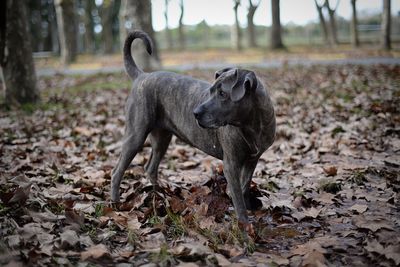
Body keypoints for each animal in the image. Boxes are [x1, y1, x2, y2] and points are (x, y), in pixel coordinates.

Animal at [111, 31, 276, 226]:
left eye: (222, 94)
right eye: (211, 91)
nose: (195, 113)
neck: (251, 125)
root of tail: (141, 76)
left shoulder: (252, 160)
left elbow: (244, 187)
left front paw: (249, 209)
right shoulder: (231, 164)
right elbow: (237, 197)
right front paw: (244, 224)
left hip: (161, 138)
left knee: (150, 167)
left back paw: (159, 195)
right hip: (135, 135)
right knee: (117, 171)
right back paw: (115, 204)